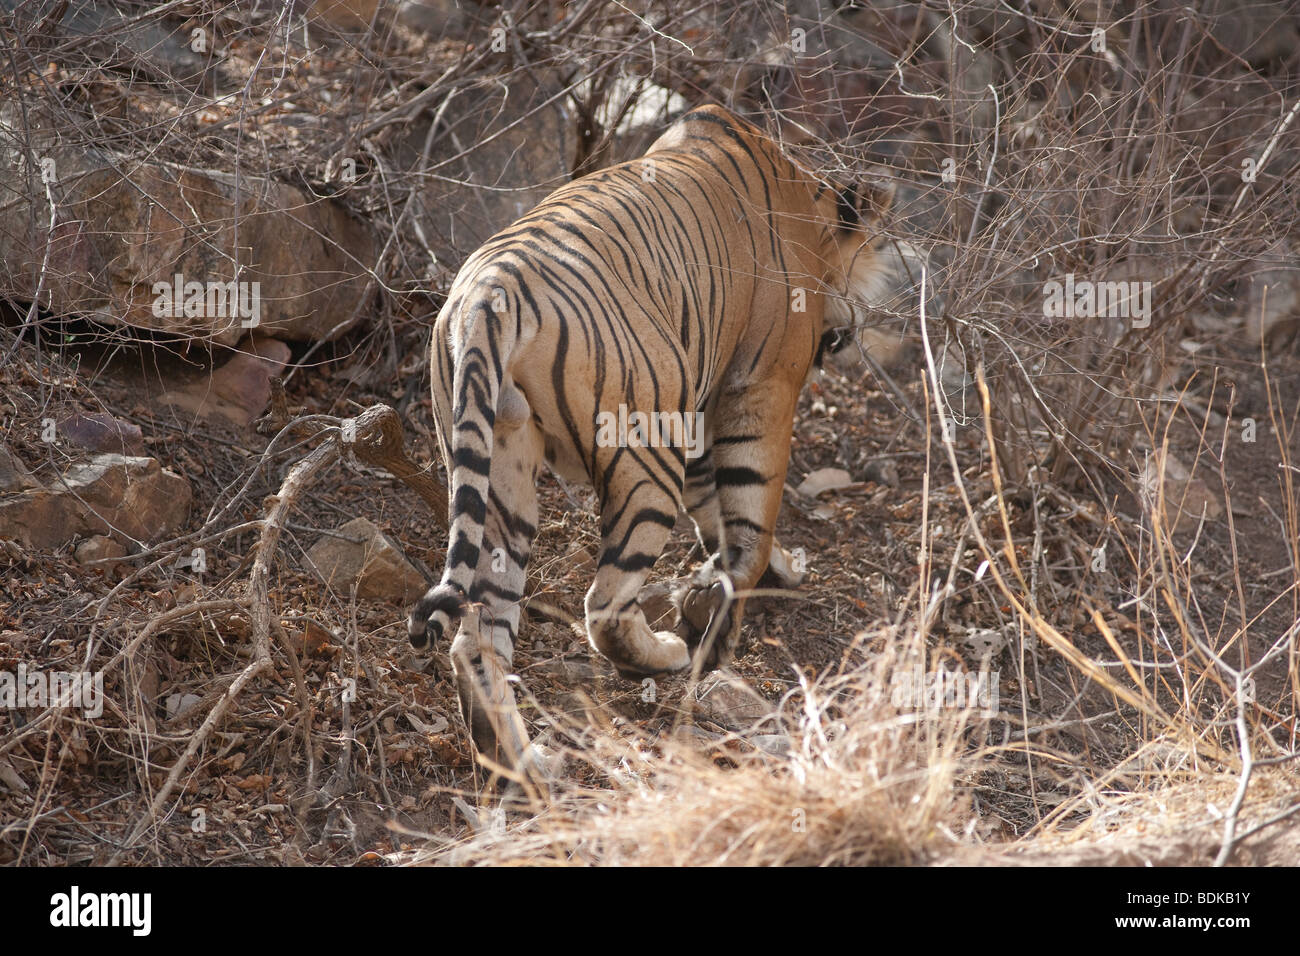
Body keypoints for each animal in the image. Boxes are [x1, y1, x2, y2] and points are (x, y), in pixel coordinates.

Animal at [408, 104, 892, 781]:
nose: (850, 334)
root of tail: (486, 296)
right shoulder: (762, 385)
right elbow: (752, 512)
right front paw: (733, 607)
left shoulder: (699, 413)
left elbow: (717, 509)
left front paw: (751, 574)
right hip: (645, 458)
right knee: (603, 604)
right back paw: (663, 656)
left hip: (499, 477)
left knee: (477, 632)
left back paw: (520, 761)